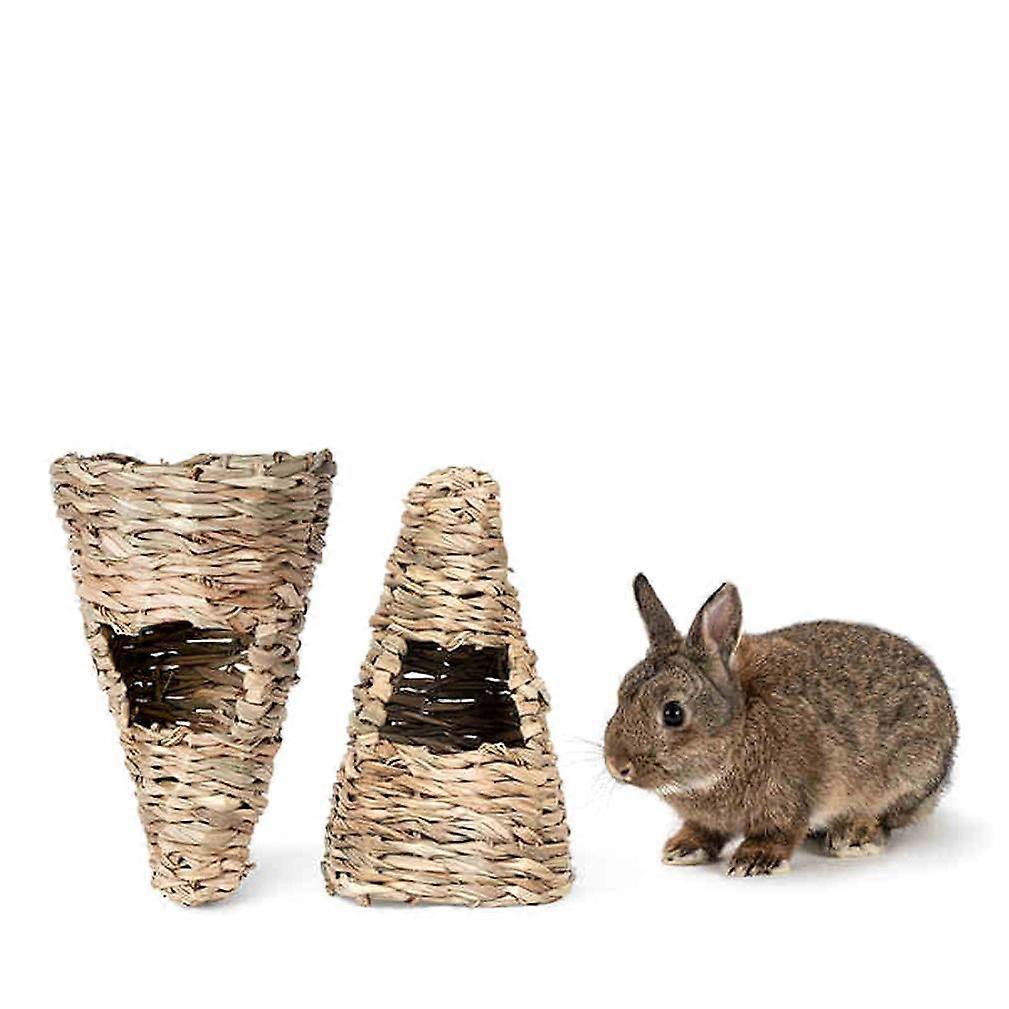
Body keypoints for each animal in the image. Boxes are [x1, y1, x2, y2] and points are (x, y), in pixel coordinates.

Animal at [604, 575, 958, 876]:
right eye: (620, 694)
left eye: (673, 713)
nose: (616, 765)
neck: (739, 727)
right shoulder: (707, 819)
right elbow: (704, 830)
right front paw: (683, 848)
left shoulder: (789, 798)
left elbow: (778, 833)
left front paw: (754, 860)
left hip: (909, 775)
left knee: (885, 816)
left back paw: (853, 836)